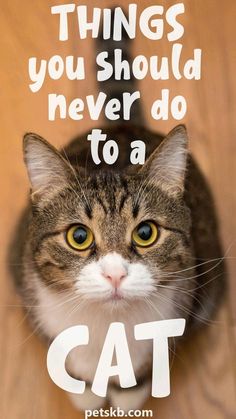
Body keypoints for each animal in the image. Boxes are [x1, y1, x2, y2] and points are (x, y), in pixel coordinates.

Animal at [9, 10, 227, 414]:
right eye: (79, 236)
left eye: (146, 233)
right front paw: (84, 391)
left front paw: (129, 394)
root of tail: (120, 123)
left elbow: (148, 365)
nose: (114, 275)